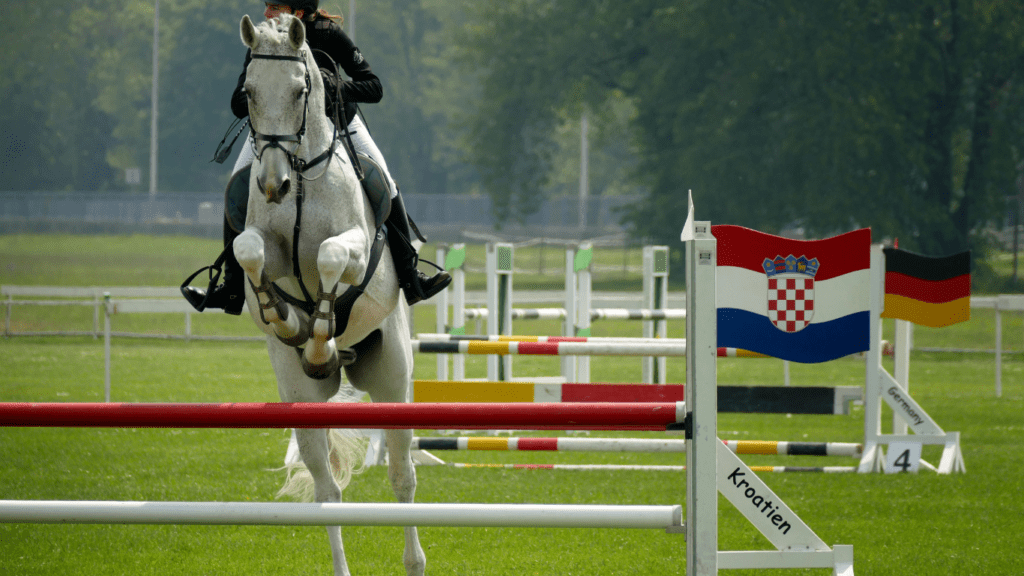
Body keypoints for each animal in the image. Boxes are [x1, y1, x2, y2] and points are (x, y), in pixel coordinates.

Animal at [232, 14, 423, 573]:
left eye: (301, 90)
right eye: (248, 92)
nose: (272, 185)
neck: (300, 180)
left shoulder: (354, 247)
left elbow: (331, 257)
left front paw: (320, 335)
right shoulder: (262, 244)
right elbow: (249, 251)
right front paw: (285, 317)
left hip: (393, 379)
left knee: (402, 477)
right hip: (302, 398)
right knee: (327, 490)